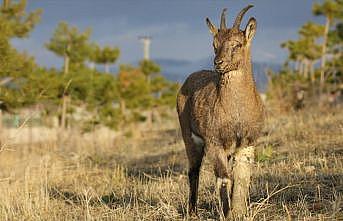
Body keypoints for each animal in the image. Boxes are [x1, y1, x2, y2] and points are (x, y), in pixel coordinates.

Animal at [177, 5, 266, 219]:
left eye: (237, 44)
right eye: (214, 44)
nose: (218, 62)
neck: (237, 112)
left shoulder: (246, 144)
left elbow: (241, 179)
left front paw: (239, 212)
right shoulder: (214, 143)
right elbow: (224, 179)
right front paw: (227, 214)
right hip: (190, 137)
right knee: (194, 170)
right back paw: (192, 211)